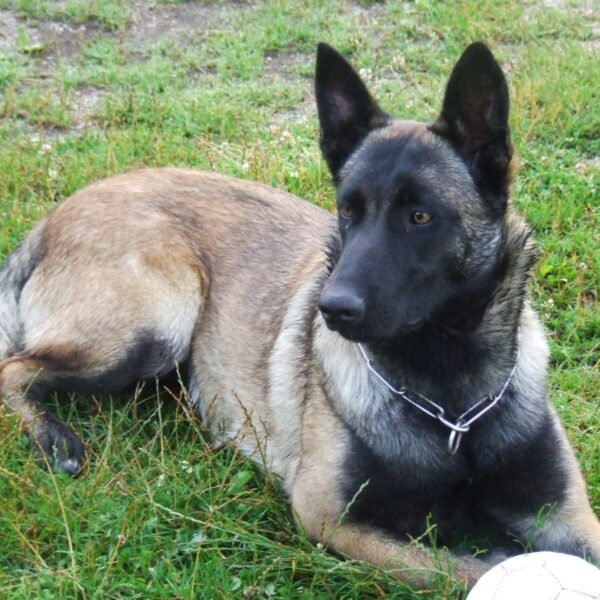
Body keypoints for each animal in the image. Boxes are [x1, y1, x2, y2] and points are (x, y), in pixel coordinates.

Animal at [1, 42, 600, 592]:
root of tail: (55, 216)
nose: (331, 308)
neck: (449, 397)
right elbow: (459, 571)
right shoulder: (329, 516)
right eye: (348, 210)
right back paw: (54, 439)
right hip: (156, 326)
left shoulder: (566, 514)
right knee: (14, 369)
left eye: (421, 216)